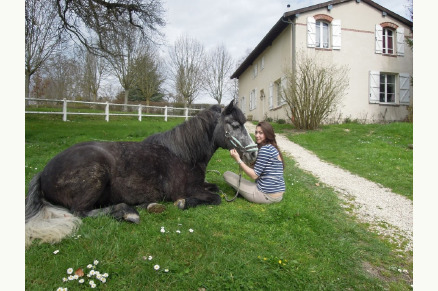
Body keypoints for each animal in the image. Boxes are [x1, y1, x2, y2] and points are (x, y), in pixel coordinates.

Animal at [24, 101, 256, 249]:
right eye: (235, 125)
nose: (253, 153)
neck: (183, 154)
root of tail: (43, 172)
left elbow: (214, 188)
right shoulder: (186, 190)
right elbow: (215, 198)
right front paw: (183, 203)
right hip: (95, 178)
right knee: (81, 212)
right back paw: (128, 212)